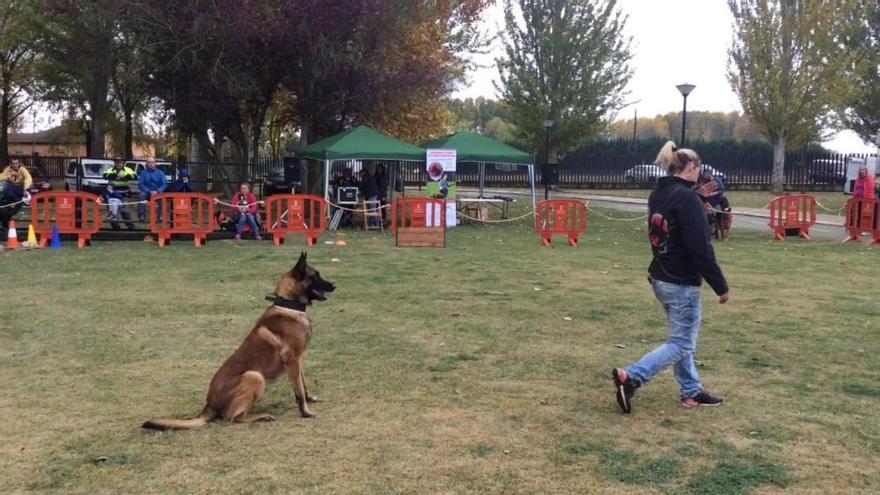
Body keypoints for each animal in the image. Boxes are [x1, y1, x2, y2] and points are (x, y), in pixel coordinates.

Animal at [143, 252, 336, 430]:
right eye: (315, 276)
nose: (333, 285)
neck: (288, 306)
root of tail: (209, 405)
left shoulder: (298, 359)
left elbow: (303, 384)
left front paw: (311, 399)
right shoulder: (293, 359)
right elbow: (299, 392)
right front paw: (305, 412)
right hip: (254, 376)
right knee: (231, 418)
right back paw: (262, 416)